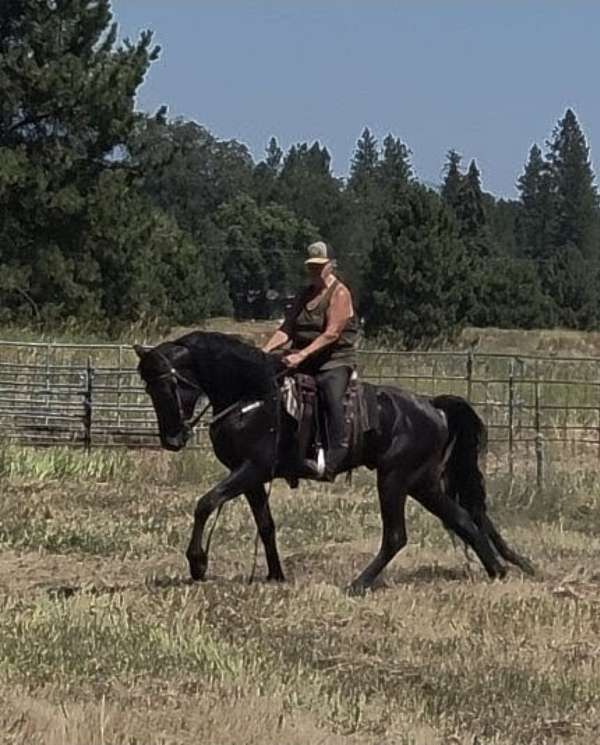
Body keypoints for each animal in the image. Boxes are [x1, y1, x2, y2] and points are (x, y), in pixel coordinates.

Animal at [134, 331, 533, 593]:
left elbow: (206, 503)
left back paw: (358, 584)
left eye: (169, 384)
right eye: (148, 388)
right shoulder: (251, 477)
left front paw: (197, 563)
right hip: (423, 483)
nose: (172, 439)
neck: (253, 395)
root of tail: (432, 407)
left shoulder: (251, 469)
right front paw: (275, 575)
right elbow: (266, 525)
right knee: (462, 518)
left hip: (394, 479)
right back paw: (497, 570)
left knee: (396, 535)